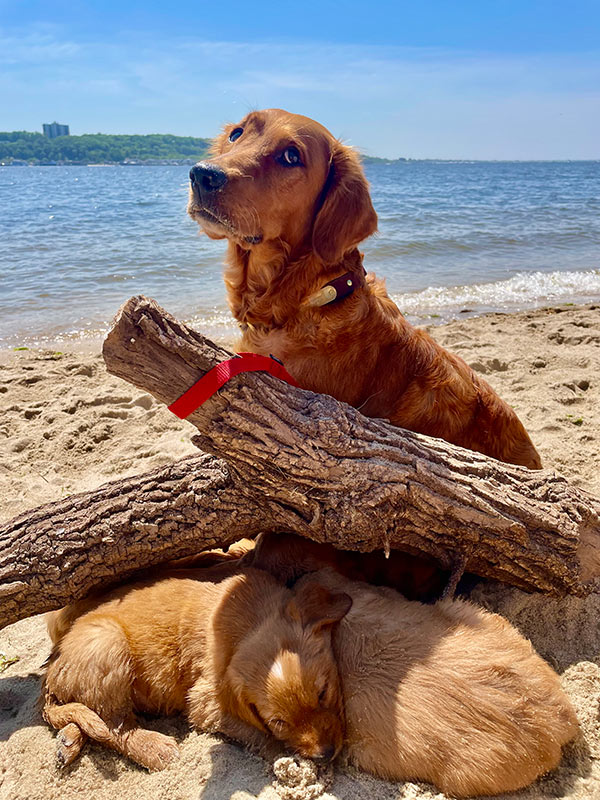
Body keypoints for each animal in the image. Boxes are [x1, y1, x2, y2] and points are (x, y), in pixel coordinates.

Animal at [43, 564, 352, 768]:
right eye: (279, 722)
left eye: (323, 693)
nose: (326, 753)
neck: (248, 616)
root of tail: (52, 665)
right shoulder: (206, 703)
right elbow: (258, 734)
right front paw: (287, 756)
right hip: (107, 640)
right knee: (113, 727)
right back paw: (155, 749)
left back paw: (67, 741)